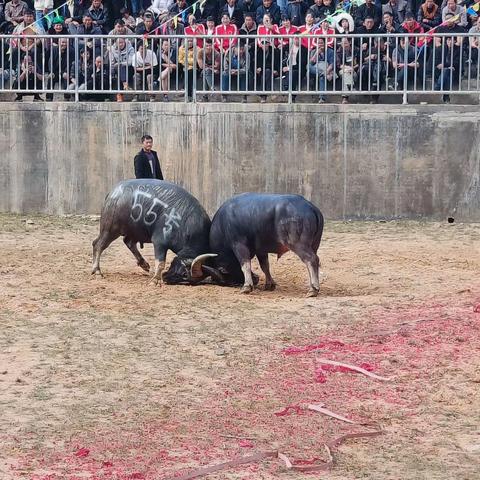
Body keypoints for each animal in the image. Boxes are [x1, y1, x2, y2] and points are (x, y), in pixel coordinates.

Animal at [192, 191, 326, 296]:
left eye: (228, 277)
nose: (256, 279)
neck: (223, 224)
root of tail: (310, 206)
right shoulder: (261, 250)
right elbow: (265, 266)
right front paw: (269, 284)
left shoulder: (239, 245)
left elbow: (245, 264)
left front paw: (247, 286)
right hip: (314, 244)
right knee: (314, 261)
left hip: (297, 243)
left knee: (311, 259)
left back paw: (313, 289)